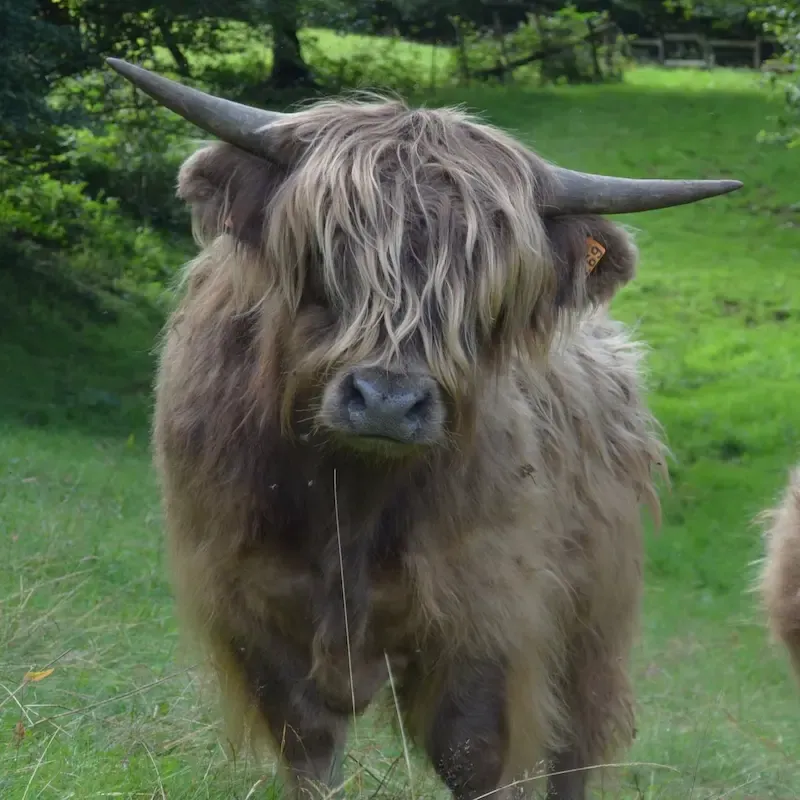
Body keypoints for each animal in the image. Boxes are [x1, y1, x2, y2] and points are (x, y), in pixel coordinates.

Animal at [106, 58, 742, 800]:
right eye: (324, 256)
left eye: (485, 293)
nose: (386, 400)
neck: (347, 499)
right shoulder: (249, 605)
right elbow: (309, 748)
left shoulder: (486, 615)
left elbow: (474, 752)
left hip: (593, 625)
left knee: (575, 749)